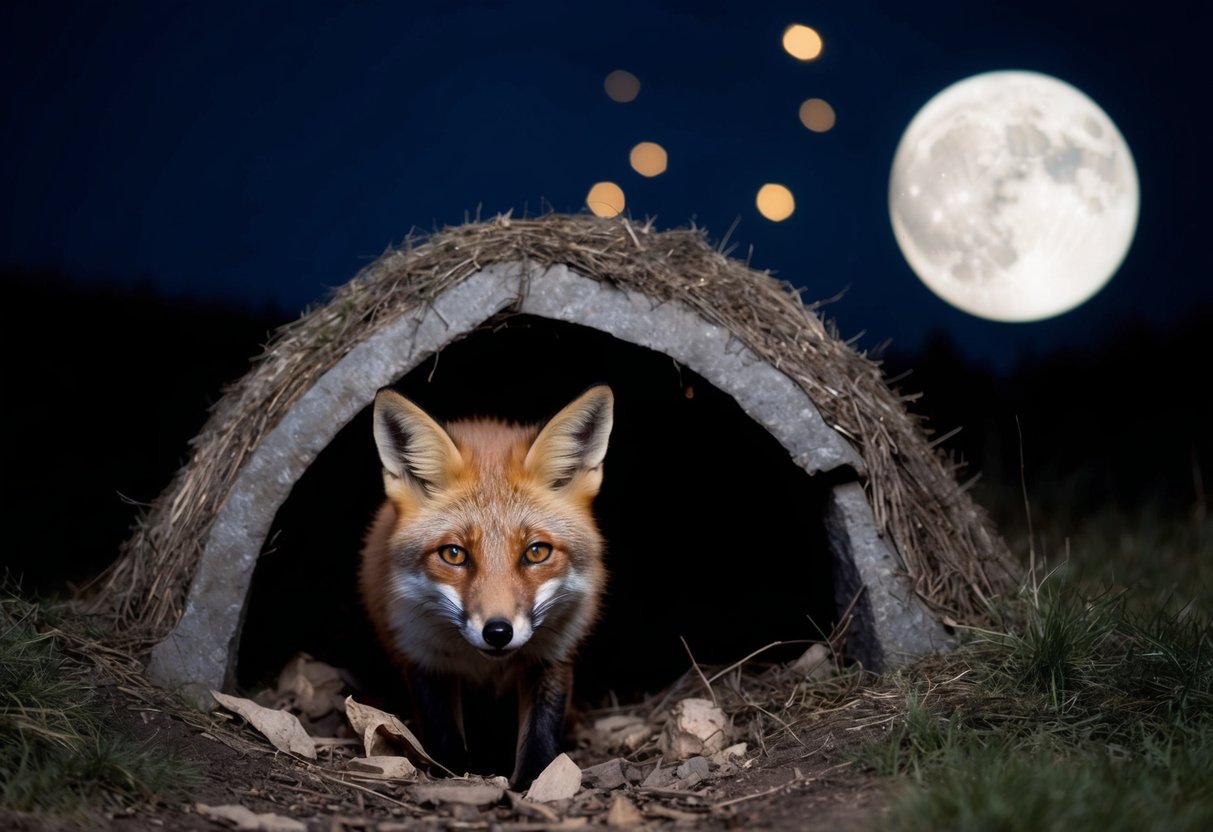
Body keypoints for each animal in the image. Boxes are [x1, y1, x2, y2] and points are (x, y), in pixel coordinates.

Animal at [358, 384, 613, 789]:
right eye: (454, 554)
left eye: (536, 552)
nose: (497, 632)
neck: (484, 664)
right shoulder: (422, 655)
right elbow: (444, 735)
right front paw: (455, 775)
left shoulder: (553, 655)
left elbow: (540, 736)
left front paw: (532, 784)